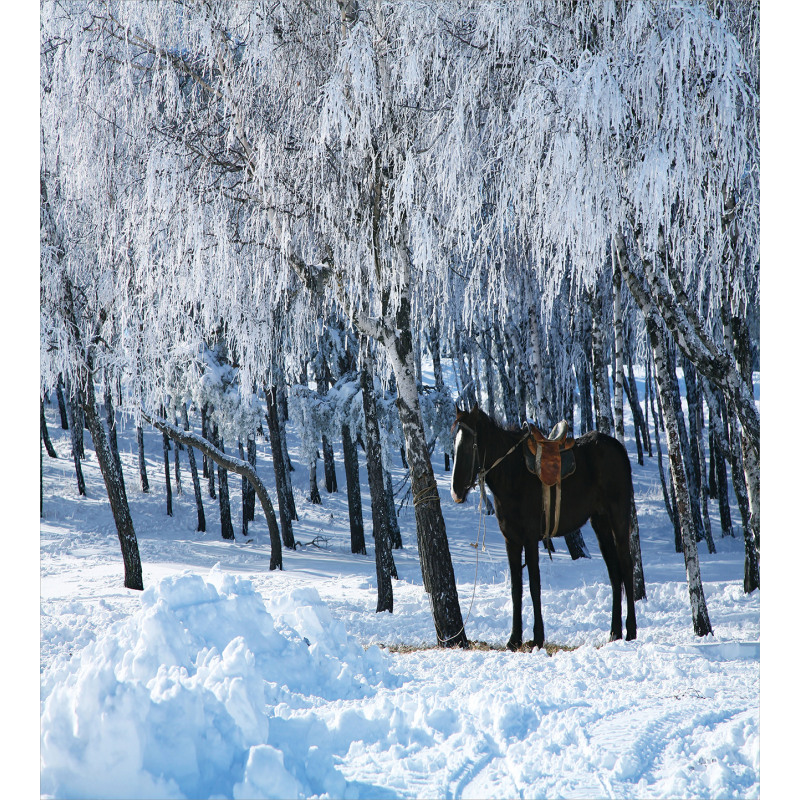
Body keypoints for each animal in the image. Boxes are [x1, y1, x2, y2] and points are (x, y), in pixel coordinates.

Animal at [454, 406, 636, 648]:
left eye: (469, 445)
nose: (456, 491)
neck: (512, 475)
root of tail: (619, 449)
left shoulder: (530, 538)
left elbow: (534, 586)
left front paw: (538, 637)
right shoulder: (511, 540)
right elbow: (516, 588)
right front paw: (514, 638)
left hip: (618, 518)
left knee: (626, 566)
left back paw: (631, 631)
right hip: (600, 523)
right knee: (614, 573)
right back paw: (614, 632)